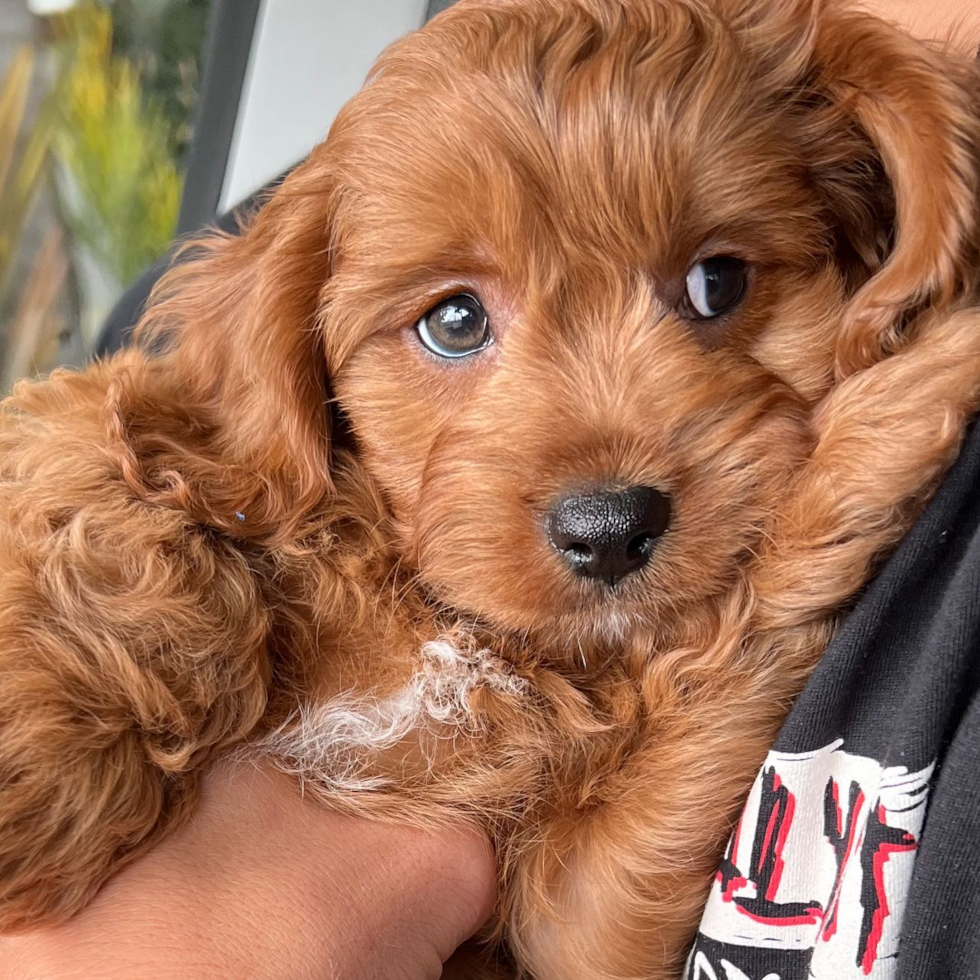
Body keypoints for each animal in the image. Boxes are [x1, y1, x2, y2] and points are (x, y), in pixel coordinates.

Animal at [1, 0, 980, 976]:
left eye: (720, 281)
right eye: (455, 321)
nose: (608, 526)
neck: (458, 632)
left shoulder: (576, 912)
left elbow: (733, 641)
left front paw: (899, 402)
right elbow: (92, 462)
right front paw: (38, 755)